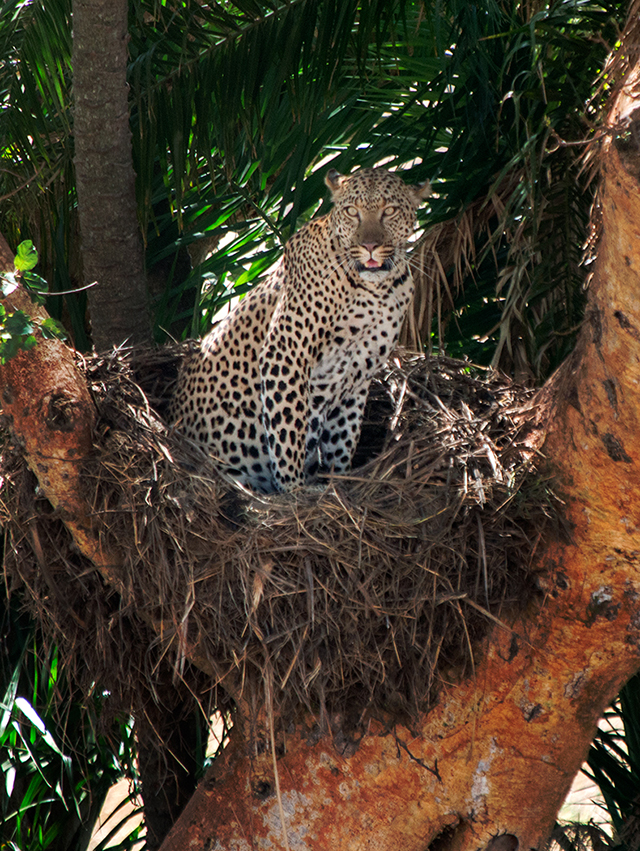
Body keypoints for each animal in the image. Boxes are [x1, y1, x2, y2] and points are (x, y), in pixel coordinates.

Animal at [170, 167, 430, 496]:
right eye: (352, 211)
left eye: (390, 211)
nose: (370, 246)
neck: (376, 289)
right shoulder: (285, 353)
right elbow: (287, 427)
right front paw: (293, 490)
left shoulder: (358, 374)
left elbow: (342, 435)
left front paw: (336, 480)